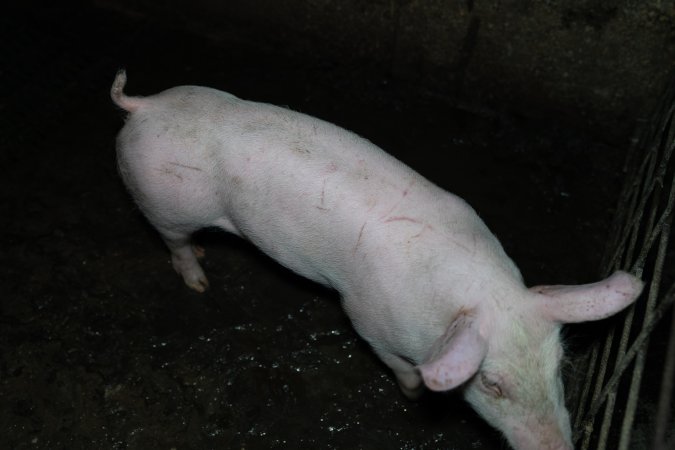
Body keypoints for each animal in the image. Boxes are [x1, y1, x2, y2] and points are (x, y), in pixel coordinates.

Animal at [111, 70, 643, 450]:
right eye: (492, 384)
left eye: (558, 367)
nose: (556, 447)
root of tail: (146, 104)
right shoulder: (366, 316)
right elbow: (395, 363)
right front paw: (413, 395)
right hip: (161, 199)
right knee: (174, 241)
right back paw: (198, 278)